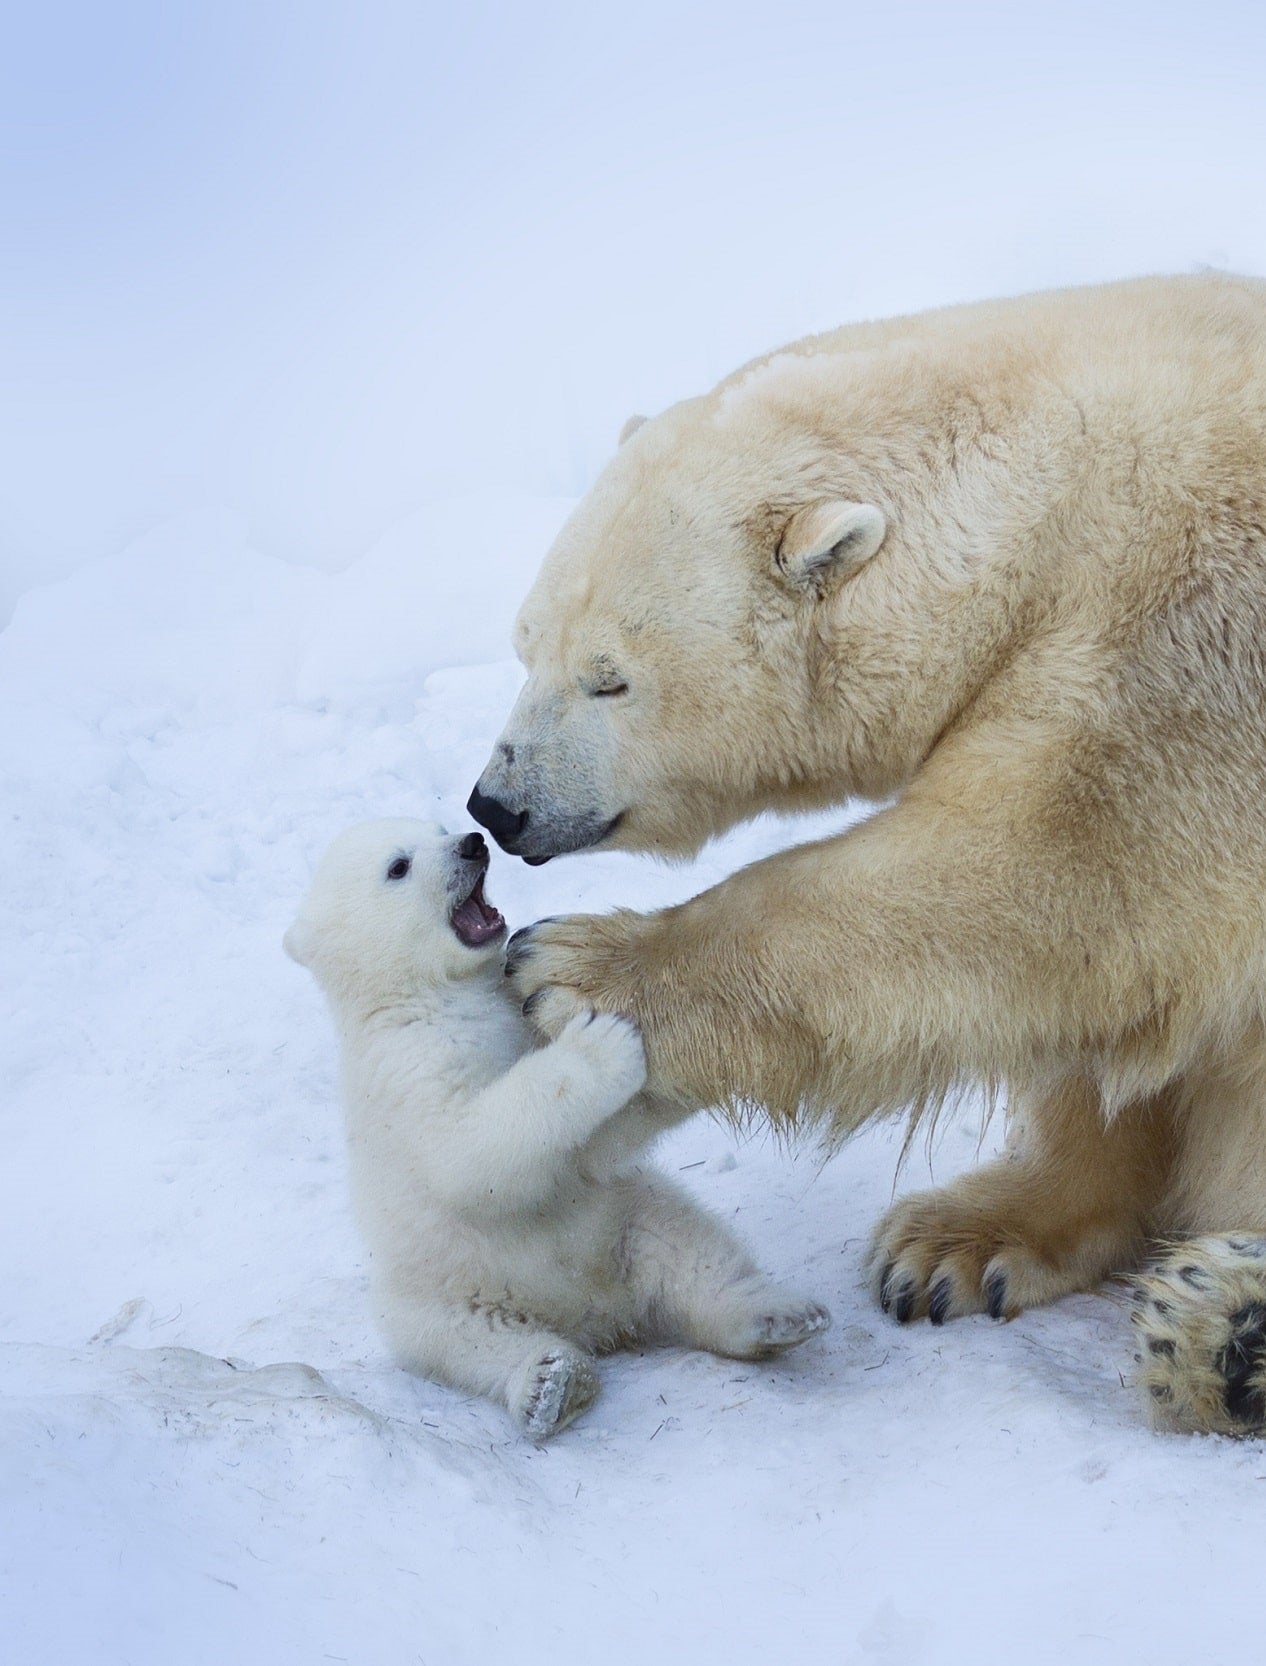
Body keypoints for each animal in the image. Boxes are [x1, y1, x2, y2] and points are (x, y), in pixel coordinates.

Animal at [469, 273, 1266, 1432]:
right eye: (526, 643)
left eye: (610, 678)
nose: (499, 804)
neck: (1062, 500)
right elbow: (1122, 1023)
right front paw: (960, 1241)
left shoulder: (1189, 649)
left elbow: (1043, 873)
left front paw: (575, 969)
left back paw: (1224, 1329)